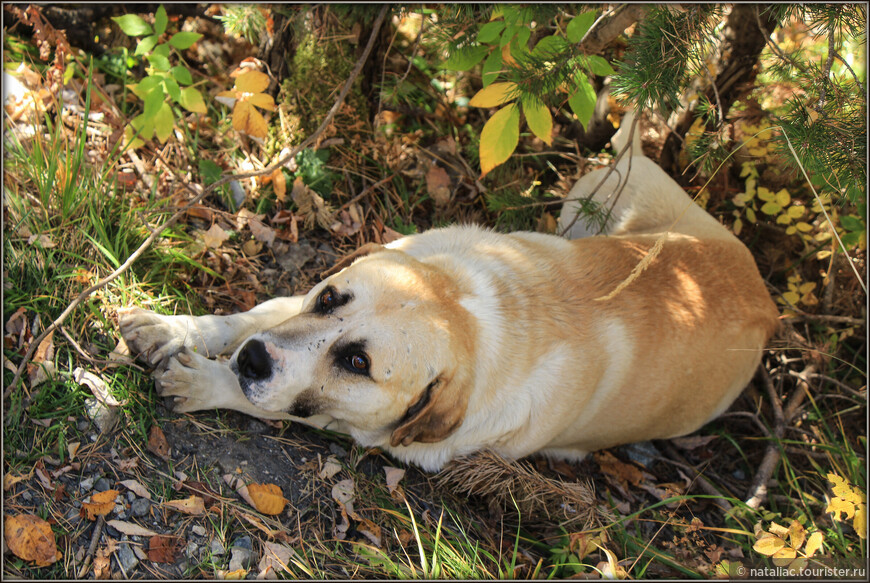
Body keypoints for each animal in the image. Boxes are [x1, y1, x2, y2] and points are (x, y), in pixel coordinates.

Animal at [119, 116, 780, 472]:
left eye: (357, 363)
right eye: (330, 299)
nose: (255, 360)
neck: (472, 312)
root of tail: (767, 301)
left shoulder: (379, 433)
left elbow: (272, 401)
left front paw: (207, 381)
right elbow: (248, 315)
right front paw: (172, 328)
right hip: (588, 205)